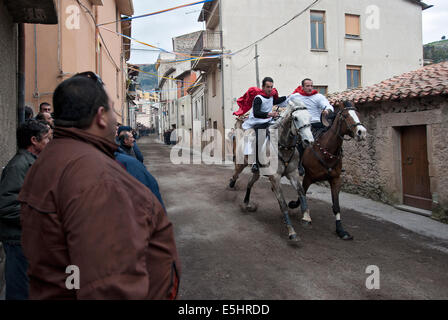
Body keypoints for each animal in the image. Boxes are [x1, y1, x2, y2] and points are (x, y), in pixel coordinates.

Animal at [288, 101, 366, 239]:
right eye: (345, 116)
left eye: (358, 114)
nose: (361, 132)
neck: (327, 150)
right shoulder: (308, 177)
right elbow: (301, 195)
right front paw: (293, 205)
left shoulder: (335, 179)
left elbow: (336, 206)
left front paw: (341, 230)